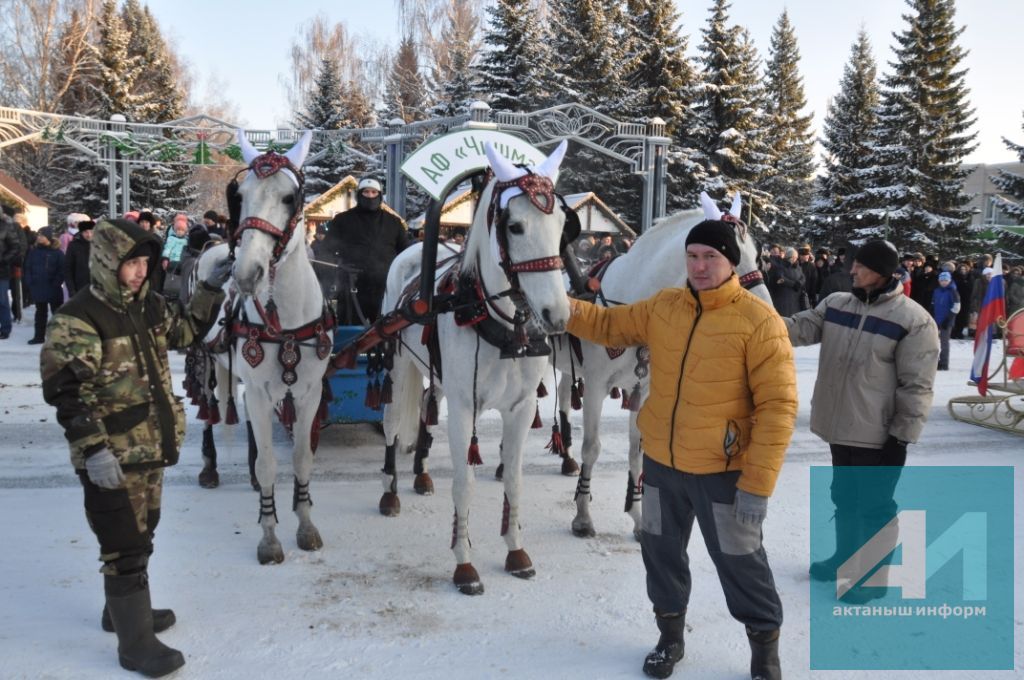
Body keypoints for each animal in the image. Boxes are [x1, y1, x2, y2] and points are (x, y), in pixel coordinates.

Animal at [193, 130, 333, 565]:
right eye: (240, 196)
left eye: (290, 198)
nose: (246, 274)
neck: (284, 320)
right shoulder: (256, 389)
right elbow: (272, 465)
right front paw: (270, 537)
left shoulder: (309, 392)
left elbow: (303, 459)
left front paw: (305, 524)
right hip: (210, 364)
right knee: (211, 411)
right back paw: (210, 467)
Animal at [385, 140, 573, 593]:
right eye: (515, 226)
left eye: (563, 225)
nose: (557, 315)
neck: (502, 327)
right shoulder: (464, 407)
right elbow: (463, 483)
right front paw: (464, 562)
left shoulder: (521, 408)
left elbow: (514, 479)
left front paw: (515, 551)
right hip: (398, 366)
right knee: (391, 424)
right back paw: (391, 491)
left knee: (424, 409)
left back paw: (420, 474)